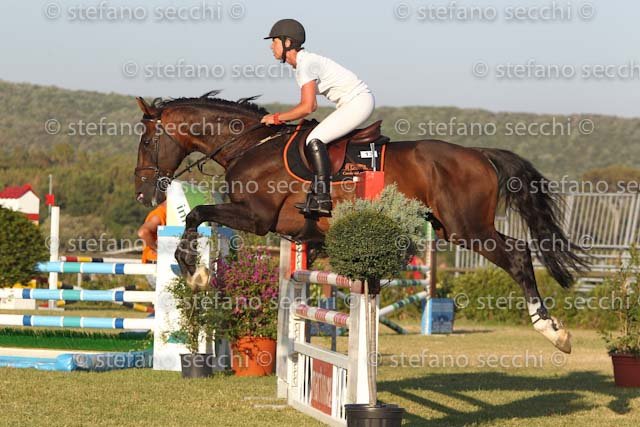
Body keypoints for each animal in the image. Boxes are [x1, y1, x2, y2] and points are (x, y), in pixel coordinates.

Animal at [133, 91, 587, 353]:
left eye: (148, 140)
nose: (143, 193)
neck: (248, 144)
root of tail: (479, 155)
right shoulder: (292, 231)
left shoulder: (256, 217)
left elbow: (196, 215)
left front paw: (193, 272)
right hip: (448, 227)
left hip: (468, 229)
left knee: (519, 255)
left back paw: (553, 331)